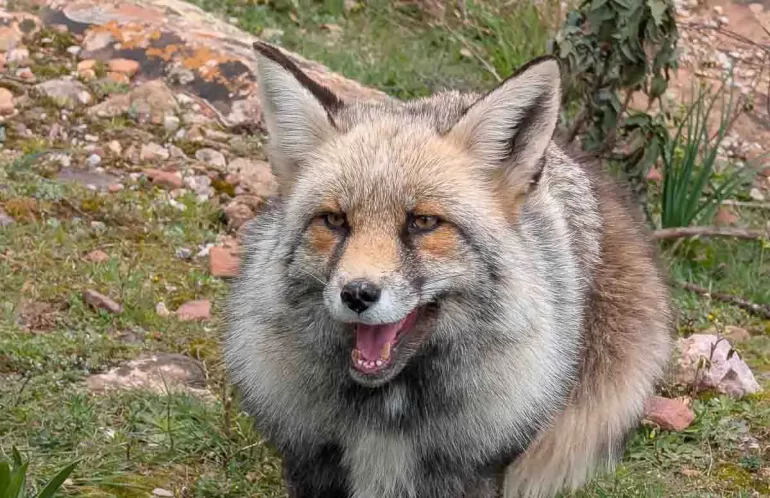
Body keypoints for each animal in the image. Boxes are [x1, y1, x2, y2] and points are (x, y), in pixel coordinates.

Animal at [224, 41, 673, 498]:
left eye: (424, 222)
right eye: (333, 220)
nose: (357, 294)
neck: (385, 415)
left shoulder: (478, 468)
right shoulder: (310, 462)